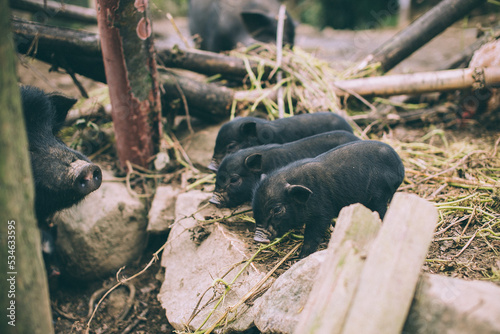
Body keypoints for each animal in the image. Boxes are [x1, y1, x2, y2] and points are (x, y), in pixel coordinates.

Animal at [252, 140, 404, 258]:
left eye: (277, 209)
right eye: (254, 208)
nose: (257, 237)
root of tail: (400, 167)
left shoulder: (321, 213)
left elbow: (312, 235)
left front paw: (302, 257)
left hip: (379, 196)